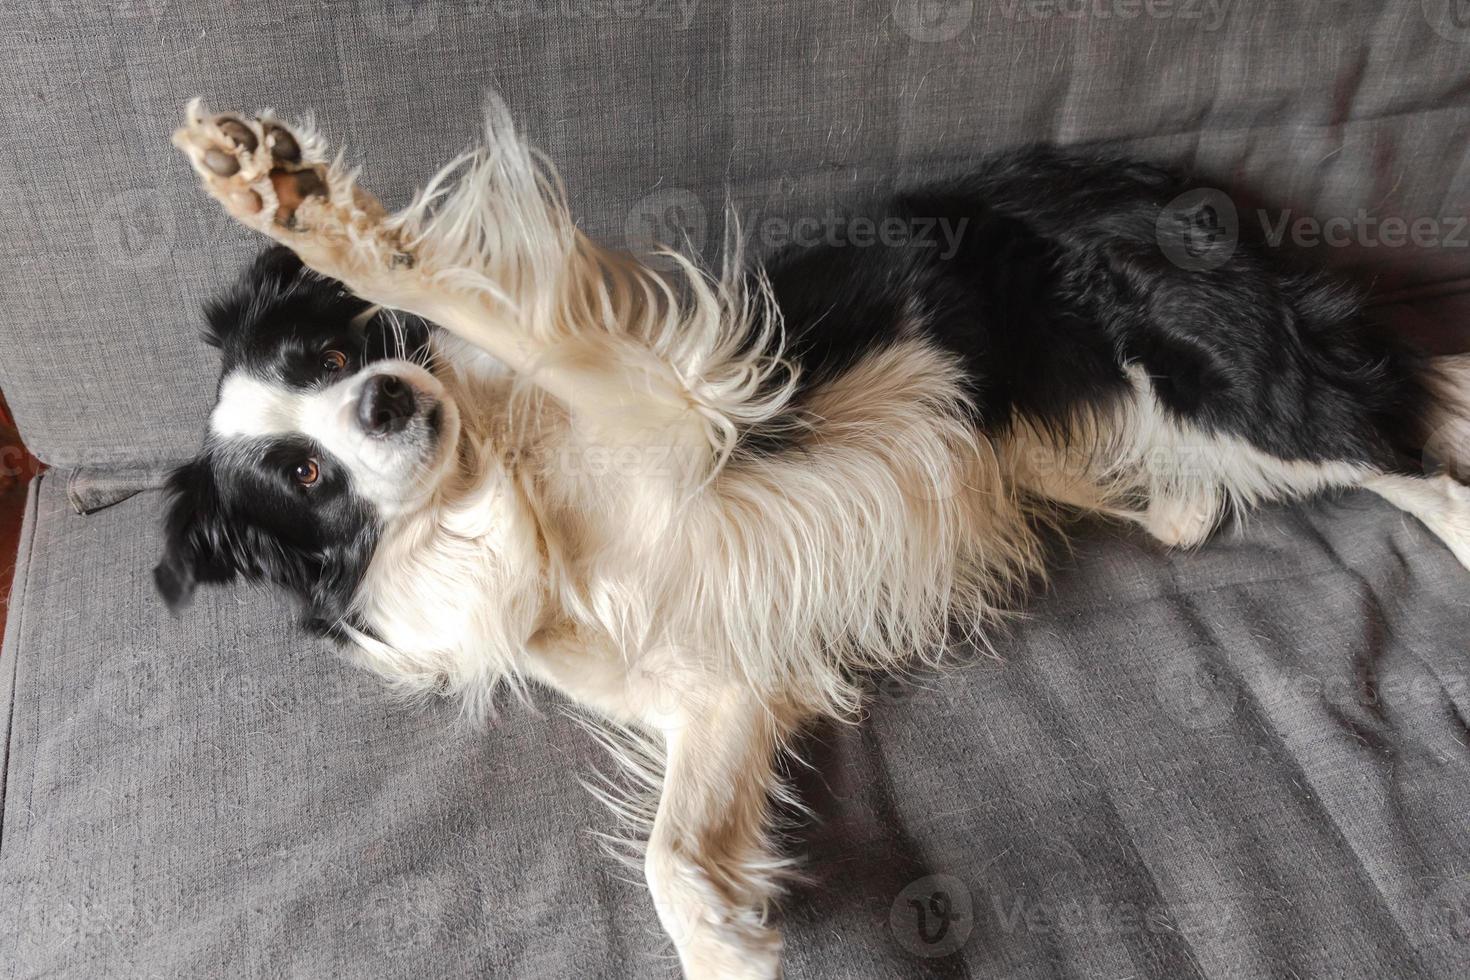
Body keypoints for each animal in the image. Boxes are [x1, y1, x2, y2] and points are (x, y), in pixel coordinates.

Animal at [158, 97, 1470, 975]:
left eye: (332, 352)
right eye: (305, 474)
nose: (388, 398)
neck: (498, 492)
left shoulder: (666, 392)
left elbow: (463, 290)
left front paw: (302, 207)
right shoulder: (711, 685)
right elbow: (670, 856)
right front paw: (728, 939)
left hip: (1222, 381)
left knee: (1410, 456)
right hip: (1062, 431)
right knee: (1234, 483)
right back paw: (1169, 507)